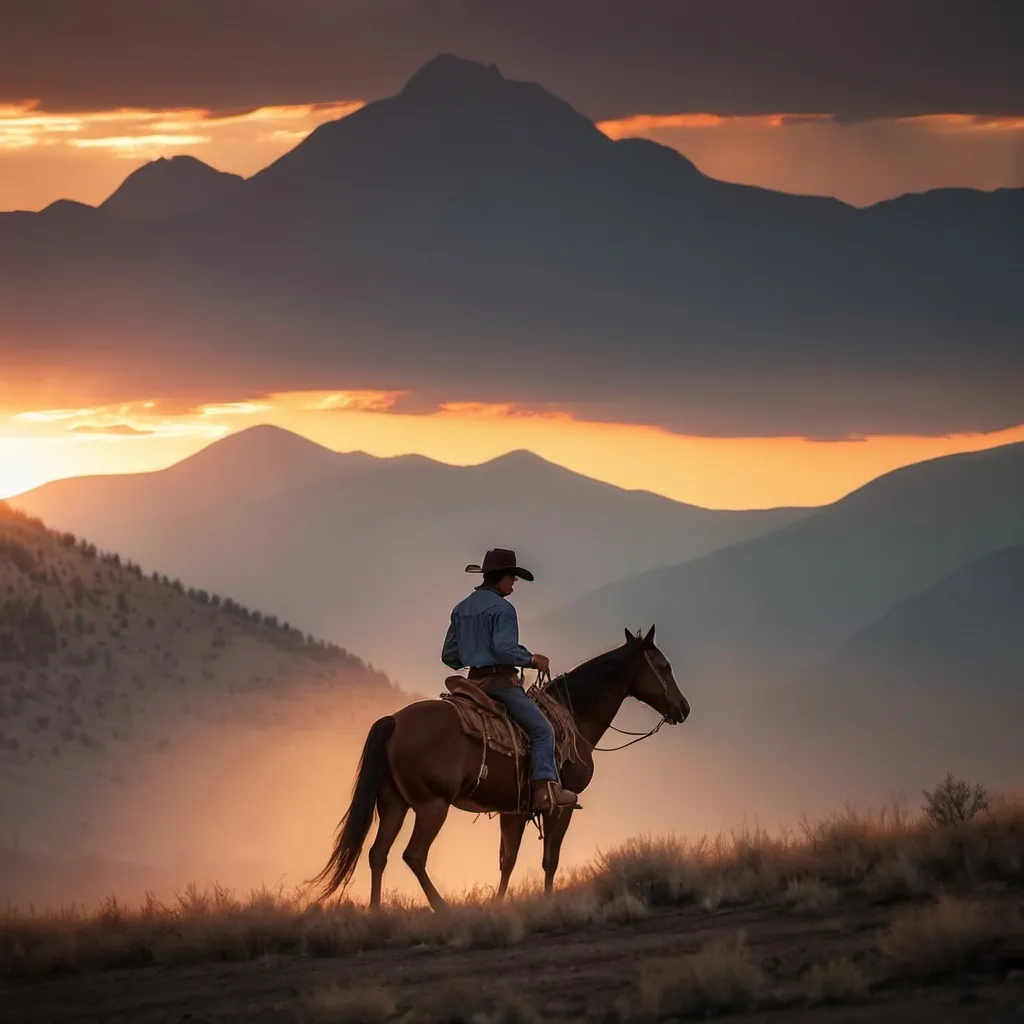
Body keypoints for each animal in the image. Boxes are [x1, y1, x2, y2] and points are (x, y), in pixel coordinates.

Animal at [305, 622, 688, 905]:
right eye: (664, 666)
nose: (683, 708)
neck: (574, 715)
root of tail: (395, 721)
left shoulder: (513, 808)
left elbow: (507, 859)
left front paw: (500, 904)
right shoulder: (561, 805)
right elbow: (550, 860)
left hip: (393, 804)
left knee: (377, 854)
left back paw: (376, 912)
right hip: (432, 806)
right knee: (413, 856)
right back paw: (443, 909)